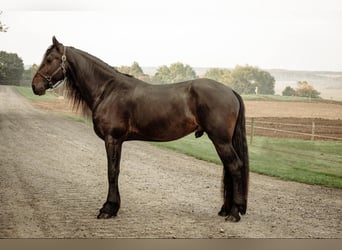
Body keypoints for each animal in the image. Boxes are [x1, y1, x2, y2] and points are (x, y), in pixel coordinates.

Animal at [31, 36, 248, 222]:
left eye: (49, 59)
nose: (35, 86)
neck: (108, 90)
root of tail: (230, 91)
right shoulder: (117, 141)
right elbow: (115, 170)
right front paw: (114, 207)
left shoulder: (112, 139)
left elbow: (112, 171)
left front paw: (108, 208)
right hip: (222, 141)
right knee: (229, 169)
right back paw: (226, 209)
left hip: (220, 141)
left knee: (235, 167)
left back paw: (234, 213)